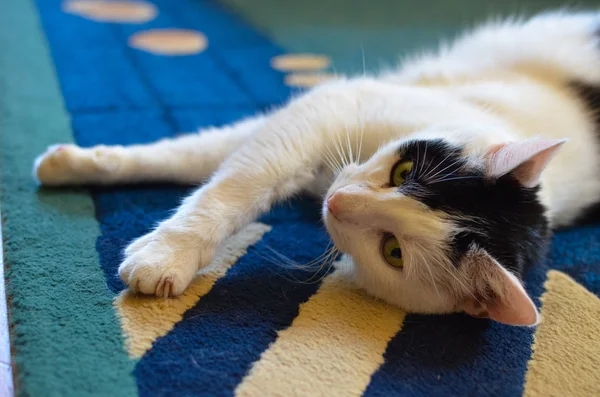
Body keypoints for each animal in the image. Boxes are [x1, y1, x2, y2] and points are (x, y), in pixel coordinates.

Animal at [32, 12, 600, 324]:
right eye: (402, 173)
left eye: (393, 252)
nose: (337, 201)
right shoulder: (326, 111)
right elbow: (214, 171)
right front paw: (76, 167)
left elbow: (214, 166)